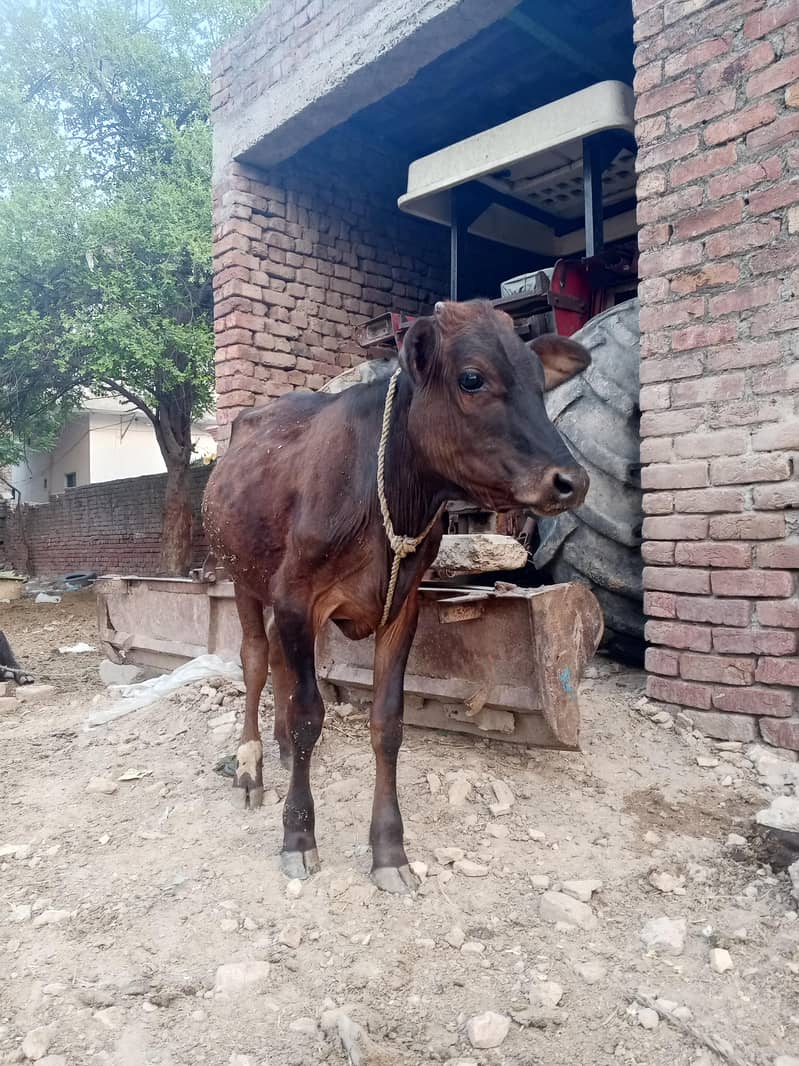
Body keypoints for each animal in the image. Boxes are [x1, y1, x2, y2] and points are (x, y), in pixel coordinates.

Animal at [202, 299, 590, 894]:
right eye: (472, 378)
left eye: (537, 380)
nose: (572, 480)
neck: (384, 497)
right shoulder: (296, 596)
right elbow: (310, 712)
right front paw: (298, 836)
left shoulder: (402, 604)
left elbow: (387, 723)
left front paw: (389, 850)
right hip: (241, 574)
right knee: (254, 659)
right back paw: (251, 767)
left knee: (278, 660)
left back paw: (282, 748)